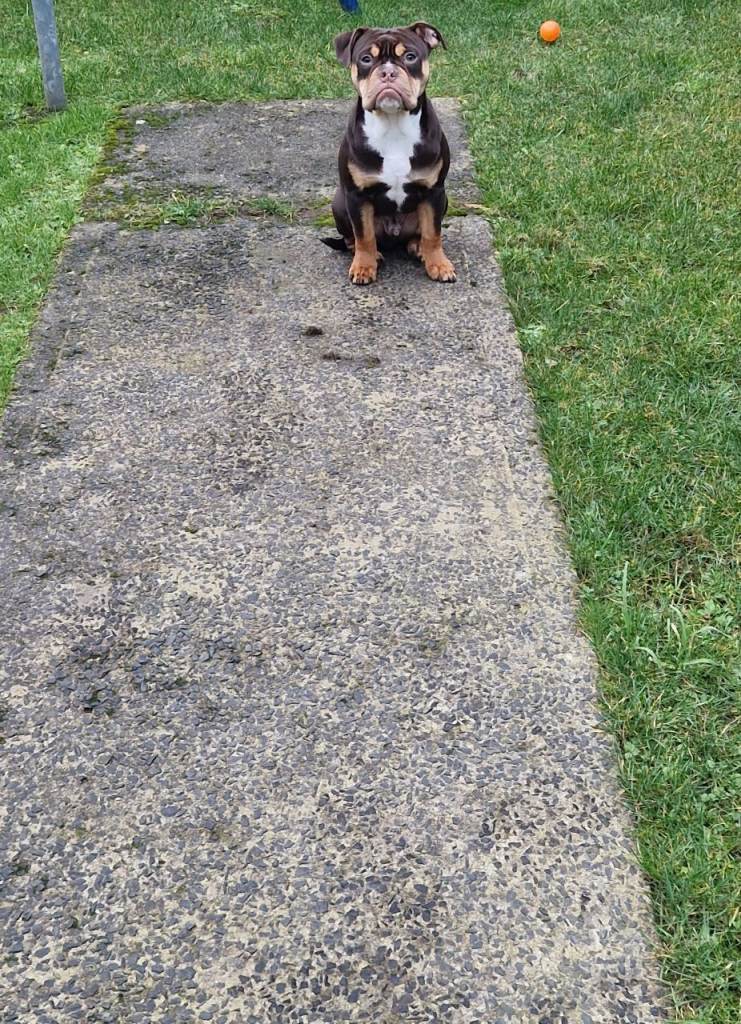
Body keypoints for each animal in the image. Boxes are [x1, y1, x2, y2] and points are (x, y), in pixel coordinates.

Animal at [326, 22, 456, 286]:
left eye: (410, 56)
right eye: (366, 59)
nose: (388, 72)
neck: (393, 123)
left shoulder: (434, 192)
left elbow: (433, 232)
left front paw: (438, 264)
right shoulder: (357, 195)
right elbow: (364, 235)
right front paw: (364, 267)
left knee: (419, 233)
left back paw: (417, 247)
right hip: (339, 203)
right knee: (352, 238)